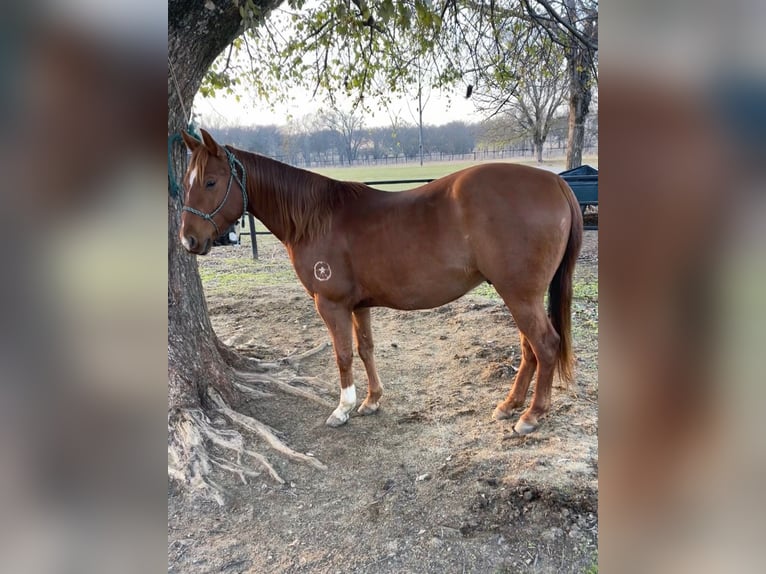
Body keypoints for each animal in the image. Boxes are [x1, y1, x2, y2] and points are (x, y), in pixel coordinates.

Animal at [179, 129, 583, 435]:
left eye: (211, 181)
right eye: (186, 181)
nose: (188, 240)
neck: (315, 218)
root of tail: (555, 183)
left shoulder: (331, 304)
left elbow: (342, 354)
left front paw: (343, 408)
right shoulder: (360, 306)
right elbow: (365, 350)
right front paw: (372, 401)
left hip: (520, 295)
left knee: (545, 346)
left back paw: (531, 415)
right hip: (518, 295)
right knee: (529, 349)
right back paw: (510, 404)